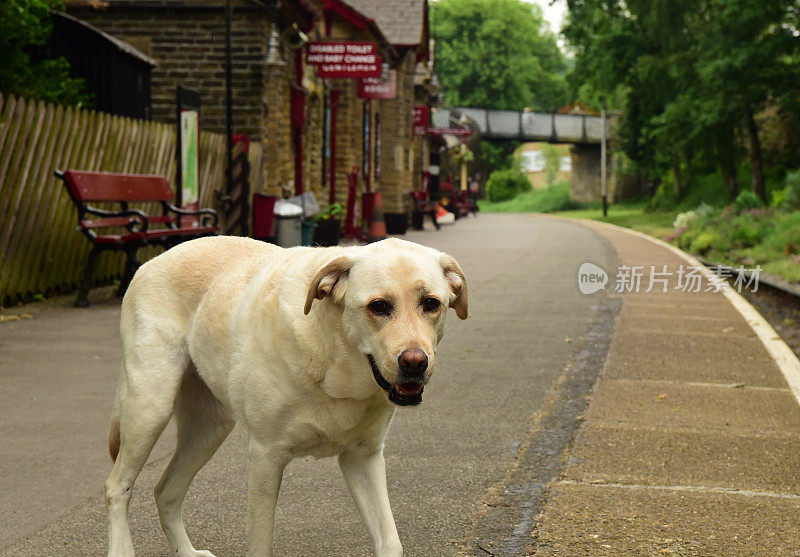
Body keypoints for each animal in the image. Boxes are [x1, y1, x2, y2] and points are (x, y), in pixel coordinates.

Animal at [103, 236, 466, 556]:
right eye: (378, 306)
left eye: (431, 304)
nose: (415, 363)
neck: (333, 363)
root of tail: (152, 261)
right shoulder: (266, 458)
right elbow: (261, 545)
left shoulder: (363, 458)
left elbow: (390, 542)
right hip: (150, 408)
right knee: (116, 487)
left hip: (210, 428)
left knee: (165, 491)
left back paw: (187, 552)